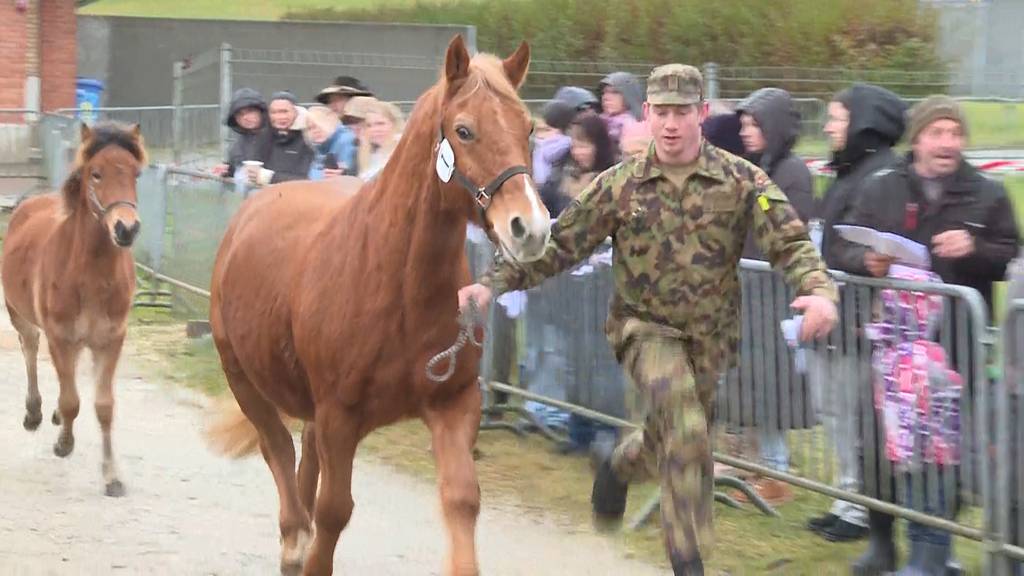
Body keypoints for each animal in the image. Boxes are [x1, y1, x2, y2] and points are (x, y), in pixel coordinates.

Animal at [2, 122, 145, 497]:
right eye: (96, 173)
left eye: (136, 173)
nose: (126, 228)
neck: (90, 275)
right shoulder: (60, 338)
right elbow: (72, 401)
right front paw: (63, 444)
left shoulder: (110, 340)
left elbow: (103, 406)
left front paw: (112, 477)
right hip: (21, 317)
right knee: (30, 350)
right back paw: (36, 413)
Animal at [204, 35, 550, 575]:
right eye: (464, 130)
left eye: (528, 127)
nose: (530, 228)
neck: (399, 288)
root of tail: (259, 200)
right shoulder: (340, 416)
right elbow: (333, 510)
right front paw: (310, 550)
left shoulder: (453, 403)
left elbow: (462, 499)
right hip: (244, 379)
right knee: (277, 448)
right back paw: (293, 537)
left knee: (303, 454)